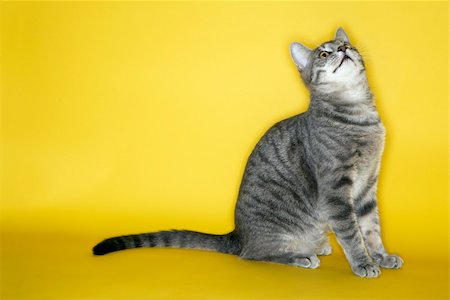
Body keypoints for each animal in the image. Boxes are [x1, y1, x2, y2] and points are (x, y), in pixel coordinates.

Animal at [93, 28, 402, 278]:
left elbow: (371, 228)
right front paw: (363, 263)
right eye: (324, 53)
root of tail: (238, 235)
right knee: (256, 254)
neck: (359, 116)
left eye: (344, 44)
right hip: (277, 228)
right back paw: (301, 256)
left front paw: (381, 257)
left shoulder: (366, 186)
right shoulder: (336, 190)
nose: (342, 49)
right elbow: (352, 233)